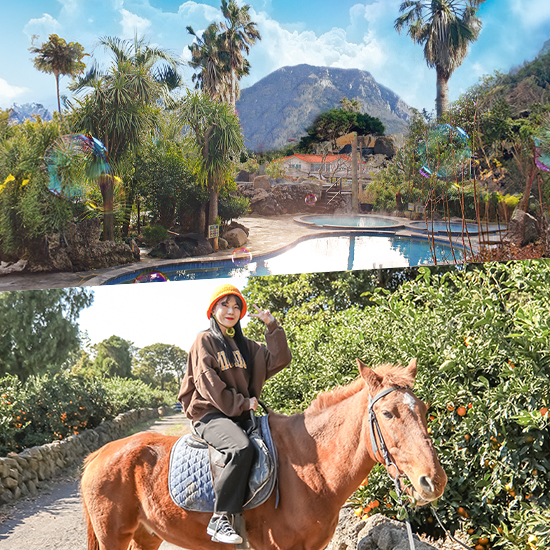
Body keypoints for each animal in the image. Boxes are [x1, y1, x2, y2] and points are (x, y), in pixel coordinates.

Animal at [81, 360, 448, 548]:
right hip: (113, 537)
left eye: (424, 409)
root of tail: (97, 455)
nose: (435, 480)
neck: (312, 470)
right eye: (387, 414)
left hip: (146, 535)